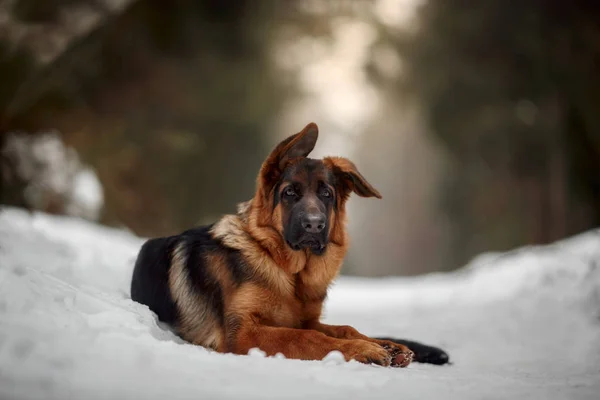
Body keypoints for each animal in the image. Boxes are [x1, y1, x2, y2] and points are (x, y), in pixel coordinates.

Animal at [132, 123, 450, 368]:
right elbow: (308, 337)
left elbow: (344, 329)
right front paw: (364, 349)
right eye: (289, 193)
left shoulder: (304, 320)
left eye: (326, 194)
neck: (286, 269)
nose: (314, 225)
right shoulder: (243, 332)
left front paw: (384, 344)